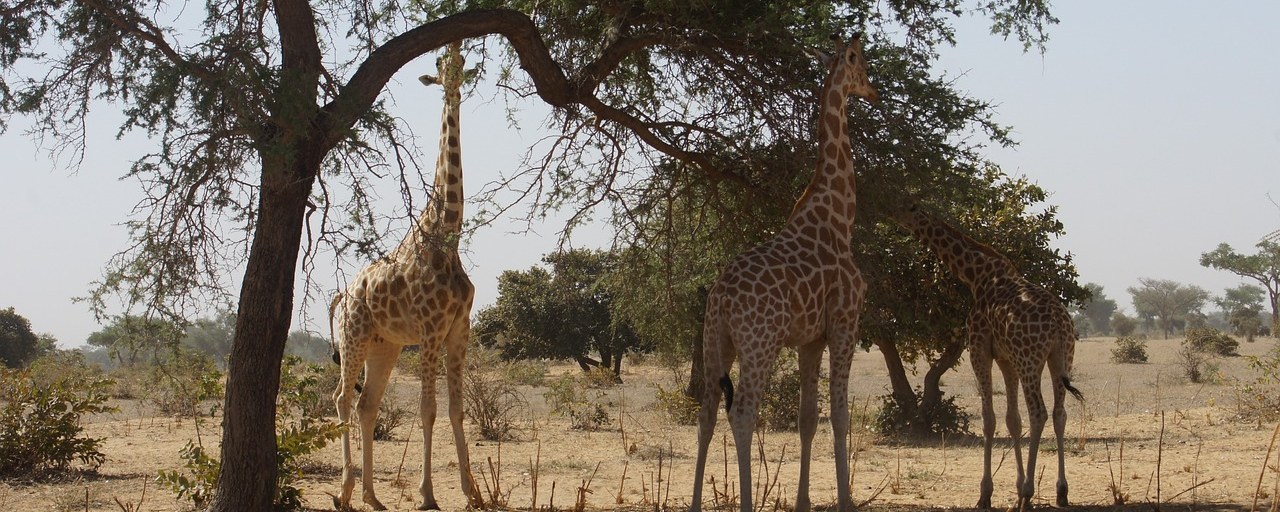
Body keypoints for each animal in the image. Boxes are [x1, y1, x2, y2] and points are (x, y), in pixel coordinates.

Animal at [330, 41, 480, 512]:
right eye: (440, 67)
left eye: (462, 65)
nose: (453, 86)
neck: (447, 233)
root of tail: (341, 297)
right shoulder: (431, 330)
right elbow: (428, 410)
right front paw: (427, 494)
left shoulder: (459, 329)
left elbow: (455, 410)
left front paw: (472, 492)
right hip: (355, 336)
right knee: (342, 398)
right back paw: (345, 491)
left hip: (386, 347)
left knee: (367, 405)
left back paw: (372, 496)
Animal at [690, 33, 878, 512]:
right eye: (862, 65)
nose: (872, 92)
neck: (840, 216)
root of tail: (721, 296)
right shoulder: (845, 323)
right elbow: (840, 415)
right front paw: (845, 500)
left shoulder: (810, 338)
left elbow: (807, 417)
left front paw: (804, 502)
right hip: (760, 343)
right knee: (742, 412)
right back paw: (745, 503)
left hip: (716, 341)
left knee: (706, 412)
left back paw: (696, 502)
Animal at [893, 202, 1084, 510]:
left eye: (902, 206)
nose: (886, 212)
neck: (977, 276)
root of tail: (1058, 322)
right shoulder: (1006, 358)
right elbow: (1012, 420)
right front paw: (1014, 487)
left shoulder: (978, 348)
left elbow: (988, 419)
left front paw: (985, 494)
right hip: (1061, 356)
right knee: (1059, 413)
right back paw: (1061, 491)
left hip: (1030, 359)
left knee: (1039, 413)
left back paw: (1028, 494)